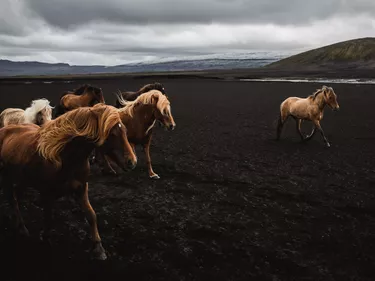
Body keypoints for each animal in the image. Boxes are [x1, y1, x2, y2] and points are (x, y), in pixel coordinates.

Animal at [0, 104, 138, 260]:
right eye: (111, 133)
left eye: (125, 130)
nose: (132, 162)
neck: (64, 157)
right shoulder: (47, 193)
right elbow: (48, 218)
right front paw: (45, 238)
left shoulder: (81, 188)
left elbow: (91, 215)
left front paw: (98, 248)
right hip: (7, 178)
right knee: (12, 199)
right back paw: (22, 228)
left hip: (23, 179)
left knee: (15, 197)